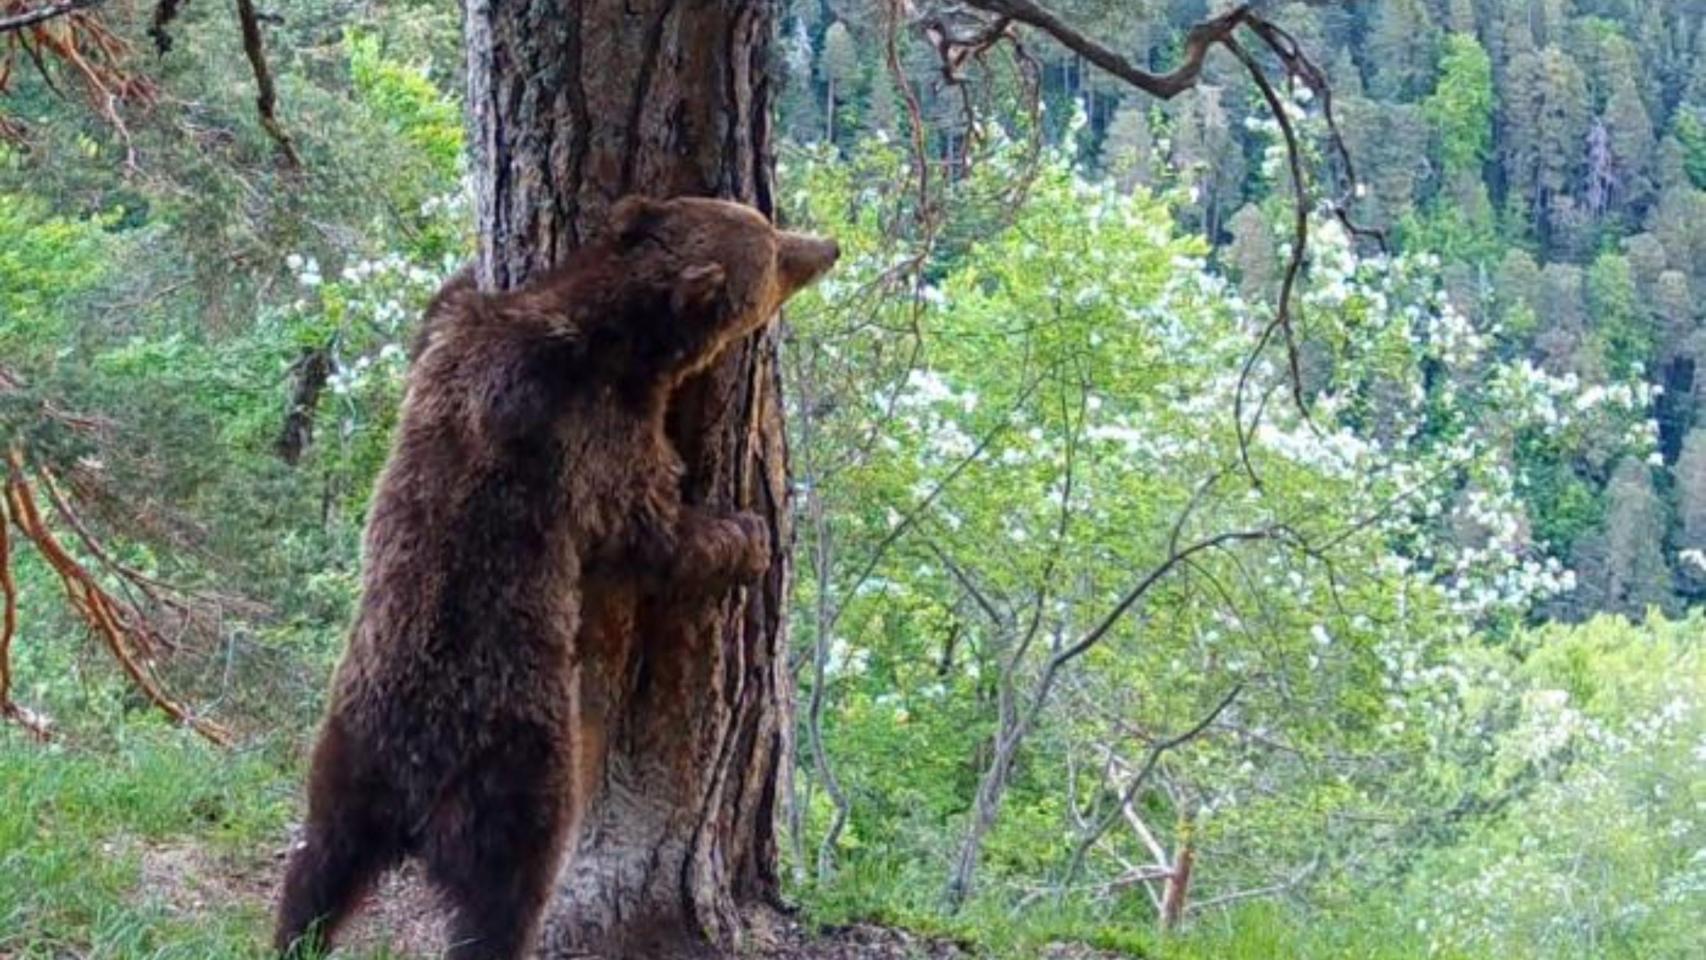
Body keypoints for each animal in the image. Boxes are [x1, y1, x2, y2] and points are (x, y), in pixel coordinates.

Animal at [273, 195, 838, 960]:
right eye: (774, 252)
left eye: (763, 223)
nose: (827, 248)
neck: (607, 337)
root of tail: (413, 790)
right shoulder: (594, 435)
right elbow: (651, 533)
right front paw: (745, 536)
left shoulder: (456, 346)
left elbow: (440, 310)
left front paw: (462, 264)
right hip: (517, 767)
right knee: (503, 896)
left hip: (345, 759)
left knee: (316, 870)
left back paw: (291, 933)